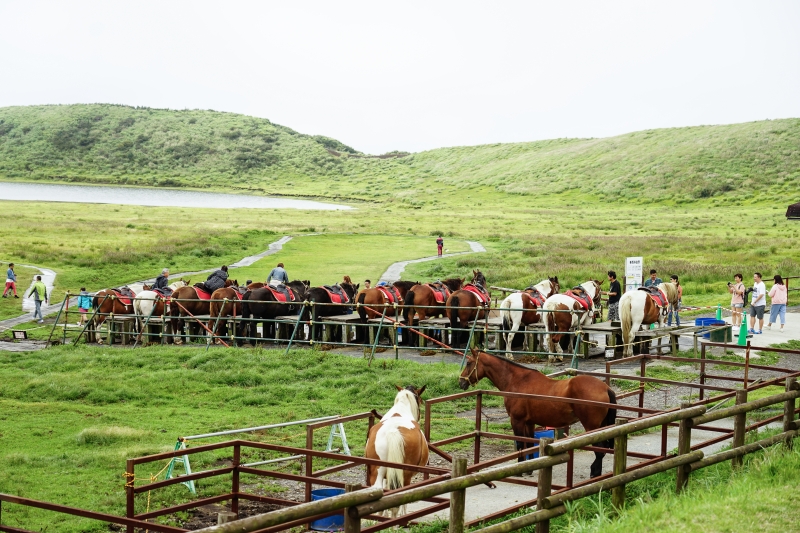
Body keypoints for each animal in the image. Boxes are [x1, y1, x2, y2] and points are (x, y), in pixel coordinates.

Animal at [456, 350, 620, 478]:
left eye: (469, 363)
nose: (461, 382)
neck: (517, 381)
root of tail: (605, 388)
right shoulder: (529, 422)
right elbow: (529, 443)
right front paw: (529, 468)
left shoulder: (517, 420)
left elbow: (520, 442)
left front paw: (519, 470)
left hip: (592, 426)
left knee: (599, 450)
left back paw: (595, 473)